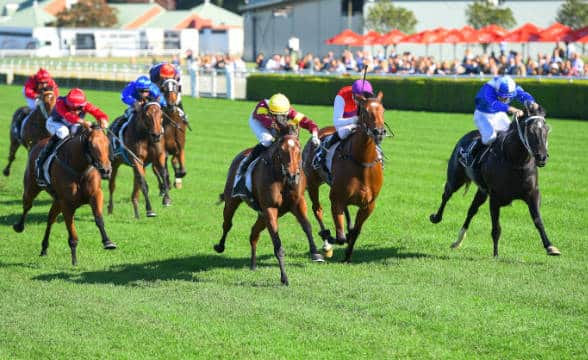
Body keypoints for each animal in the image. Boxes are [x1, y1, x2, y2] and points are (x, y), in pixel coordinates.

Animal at [12, 122, 115, 266]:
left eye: (107, 144)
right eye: (91, 144)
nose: (106, 170)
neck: (79, 169)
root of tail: (38, 144)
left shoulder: (95, 195)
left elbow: (99, 219)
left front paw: (108, 242)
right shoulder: (67, 204)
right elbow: (71, 232)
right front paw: (74, 260)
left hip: (56, 200)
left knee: (50, 219)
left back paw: (44, 248)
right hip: (31, 187)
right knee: (27, 205)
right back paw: (19, 226)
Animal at [215, 122, 326, 286]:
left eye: (299, 149)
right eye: (282, 150)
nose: (293, 176)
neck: (282, 178)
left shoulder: (298, 203)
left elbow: (307, 226)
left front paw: (316, 253)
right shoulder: (270, 208)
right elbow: (277, 244)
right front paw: (284, 277)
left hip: (263, 215)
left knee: (254, 233)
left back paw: (253, 264)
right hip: (233, 201)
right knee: (227, 224)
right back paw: (220, 246)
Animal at [300, 92, 388, 262]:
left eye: (383, 110)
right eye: (366, 111)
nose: (379, 132)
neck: (362, 162)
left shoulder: (369, 205)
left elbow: (355, 232)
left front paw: (347, 255)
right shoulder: (336, 200)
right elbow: (340, 237)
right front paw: (331, 240)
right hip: (312, 183)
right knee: (317, 210)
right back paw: (326, 239)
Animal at [428, 105, 560, 258]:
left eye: (546, 130)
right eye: (530, 130)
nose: (542, 157)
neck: (514, 161)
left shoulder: (532, 193)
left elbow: (538, 220)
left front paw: (550, 247)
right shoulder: (495, 198)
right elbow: (496, 228)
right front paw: (496, 254)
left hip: (482, 191)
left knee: (471, 210)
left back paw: (458, 240)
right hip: (456, 178)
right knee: (446, 195)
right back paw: (436, 218)